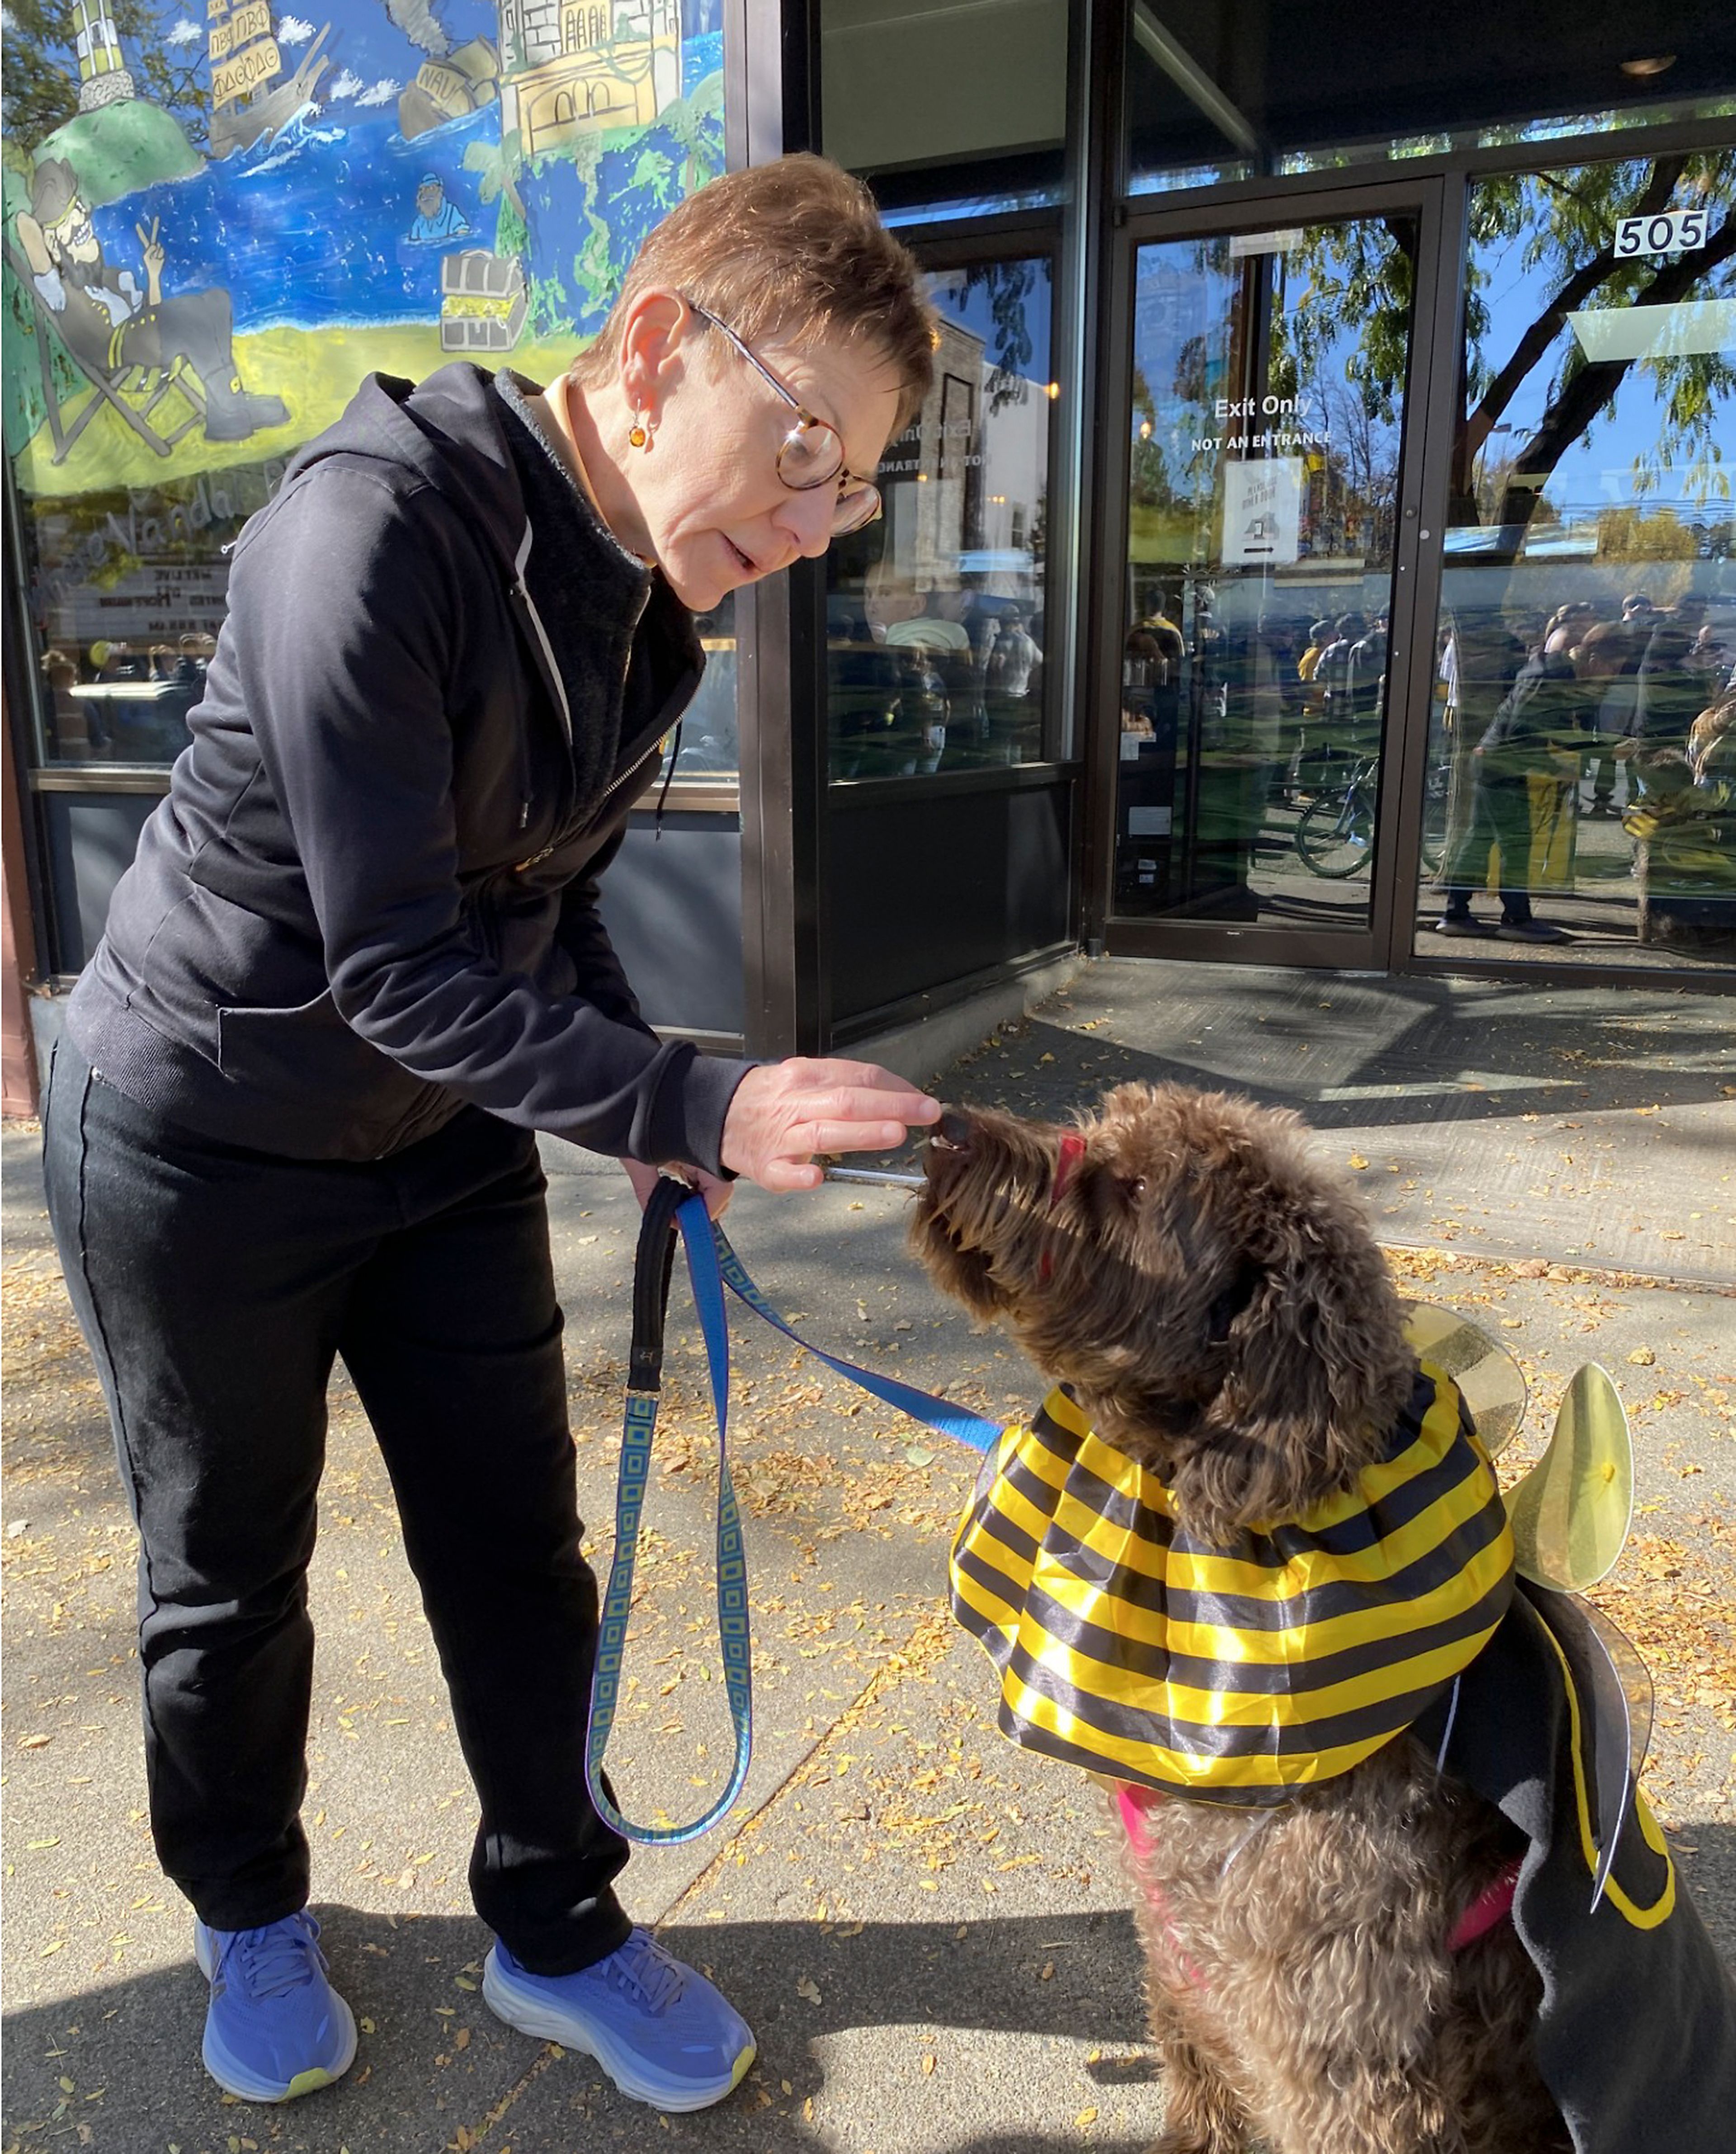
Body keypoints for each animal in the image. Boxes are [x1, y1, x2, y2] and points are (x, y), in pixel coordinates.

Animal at [909, 1085, 1576, 2154]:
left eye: (1136, 1187)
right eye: (1101, 1125)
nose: (947, 1128)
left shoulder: (1340, 2049)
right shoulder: (1181, 1963)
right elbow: (1196, 2077)